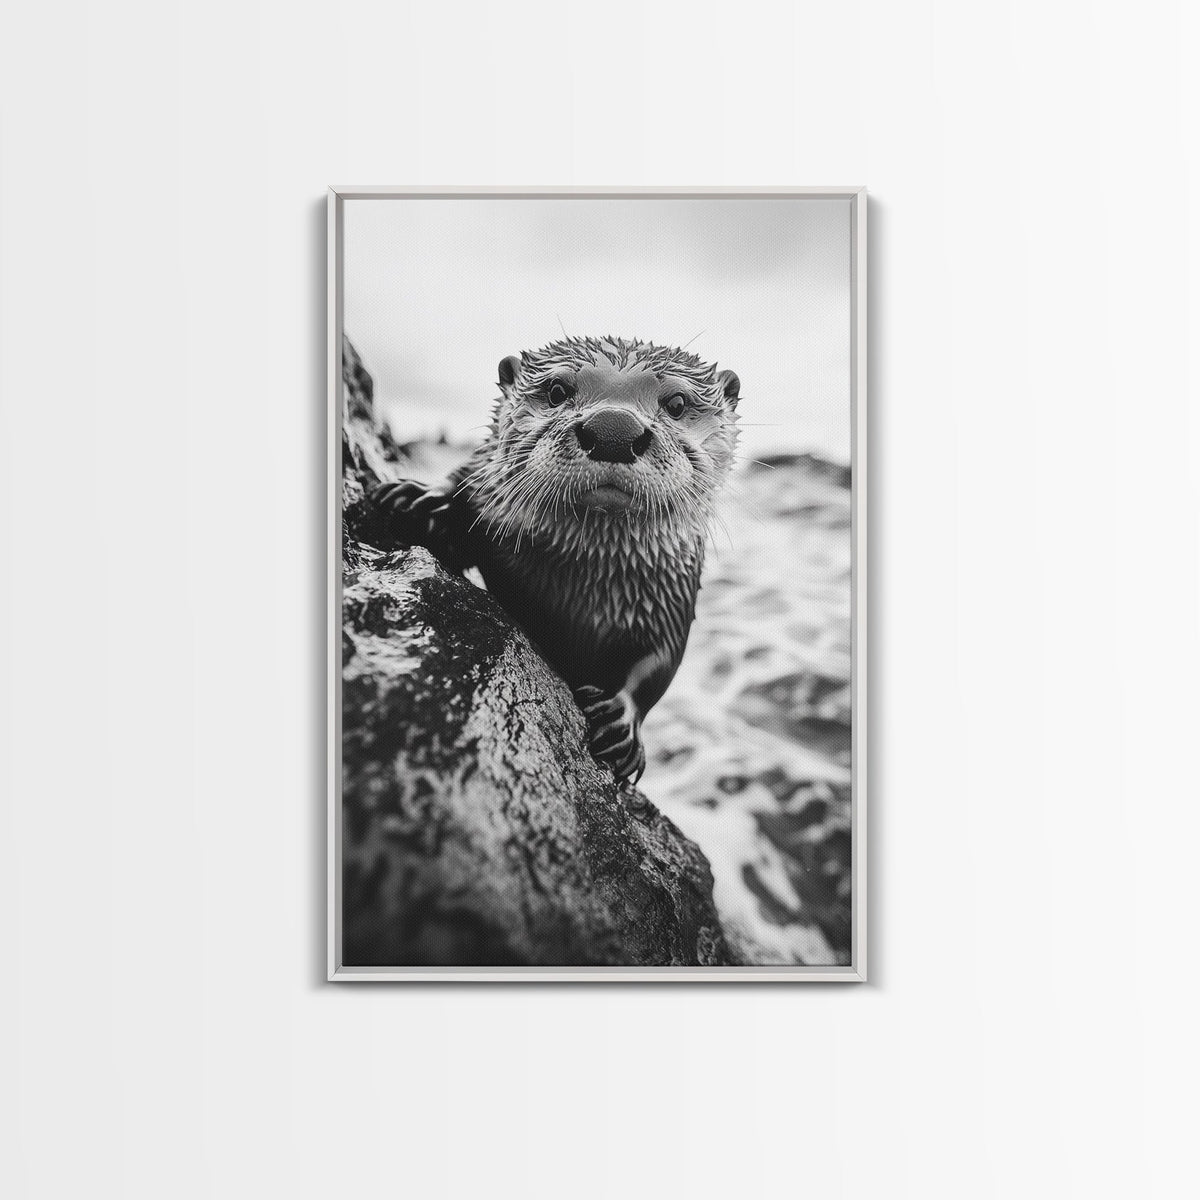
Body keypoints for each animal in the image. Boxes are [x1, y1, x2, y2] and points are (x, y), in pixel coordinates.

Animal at [369, 335, 740, 783]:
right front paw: (421, 499)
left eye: (677, 403)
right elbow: (463, 481)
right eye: (558, 390)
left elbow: (658, 663)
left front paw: (620, 723)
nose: (614, 430)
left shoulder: (672, 594)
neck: (579, 583)